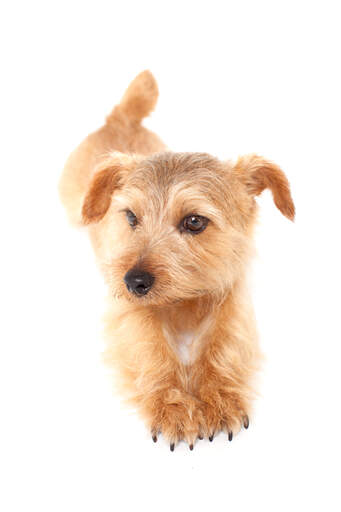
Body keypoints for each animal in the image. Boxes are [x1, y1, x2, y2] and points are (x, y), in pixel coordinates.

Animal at [58, 70, 292, 450]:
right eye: (131, 217)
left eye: (194, 221)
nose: (133, 281)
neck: (184, 300)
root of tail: (121, 117)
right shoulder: (128, 309)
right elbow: (150, 348)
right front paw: (172, 405)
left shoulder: (234, 298)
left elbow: (223, 344)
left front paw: (219, 398)